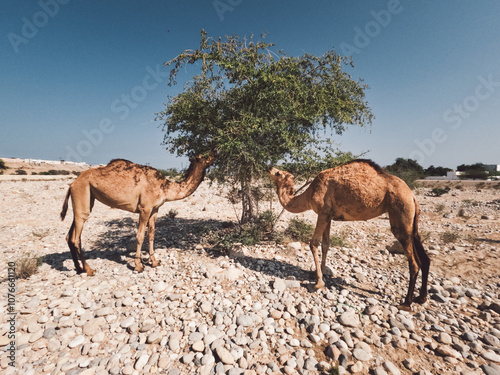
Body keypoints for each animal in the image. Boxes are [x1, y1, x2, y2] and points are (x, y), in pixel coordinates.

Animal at [60, 155, 213, 276]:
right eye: (203, 156)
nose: (214, 154)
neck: (165, 187)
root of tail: (72, 184)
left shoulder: (155, 209)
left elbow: (151, 234)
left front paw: (155, 261)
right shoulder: (145, 208)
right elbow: (140, 236)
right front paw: (139, 266)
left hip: (84, 200)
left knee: (70, 236)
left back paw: (79, 269)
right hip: (82, 193)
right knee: (76, 237)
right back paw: (89, 270)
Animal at [270, 160, 430, 310]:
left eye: (278, 173)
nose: (270, 168)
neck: (309, 194)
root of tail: (412, 195)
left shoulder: (322, 213)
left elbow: (314, 243)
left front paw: (318, 283)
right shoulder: (328, 215)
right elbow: (326, 244)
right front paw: (321, 273)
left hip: (400, 211)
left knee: (414, 262)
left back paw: (406, 303)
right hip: (411, 220)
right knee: (423, 255)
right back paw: (421, 298)